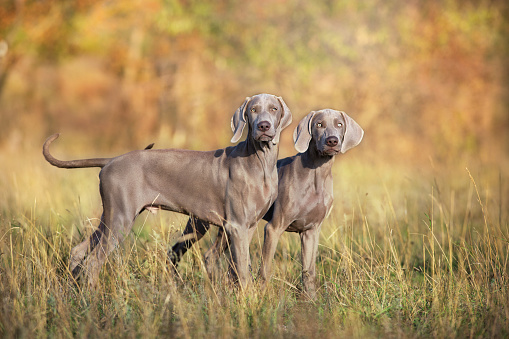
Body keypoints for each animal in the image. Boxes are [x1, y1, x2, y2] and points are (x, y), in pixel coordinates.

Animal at [41, 93, 292, 290]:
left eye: (274, 108)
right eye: (253, 110)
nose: (264, 126)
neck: (260, 162)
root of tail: (111, 160)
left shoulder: (248, 226)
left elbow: (238, 267)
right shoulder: (236, 226)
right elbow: (242, 269)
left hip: (110, 217)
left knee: (79, 250)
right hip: (120, 221)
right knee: (93, 262)